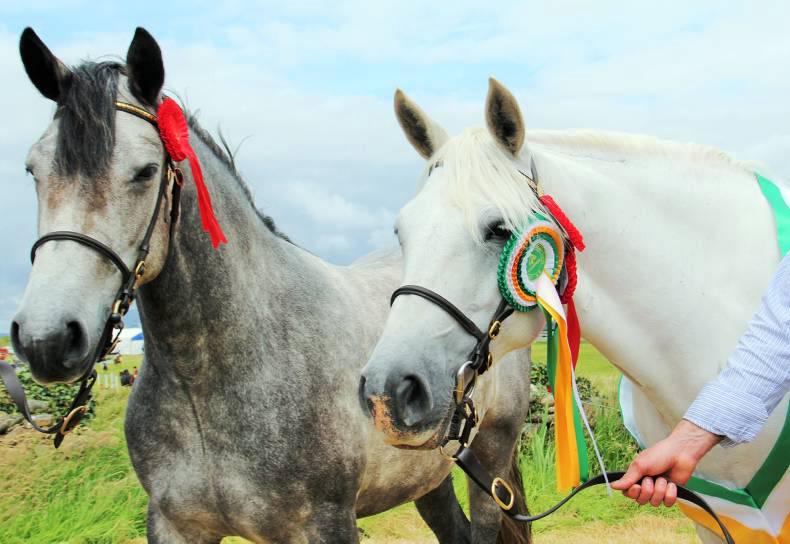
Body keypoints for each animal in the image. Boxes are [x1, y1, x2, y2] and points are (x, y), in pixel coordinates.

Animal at [9, 28, 533, 543]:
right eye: (34, 169)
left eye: (145, 172)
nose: (46, 338)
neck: (214, 379)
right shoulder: (173, 523)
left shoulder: (326, 523)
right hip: (423, 476)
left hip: (488, 463)